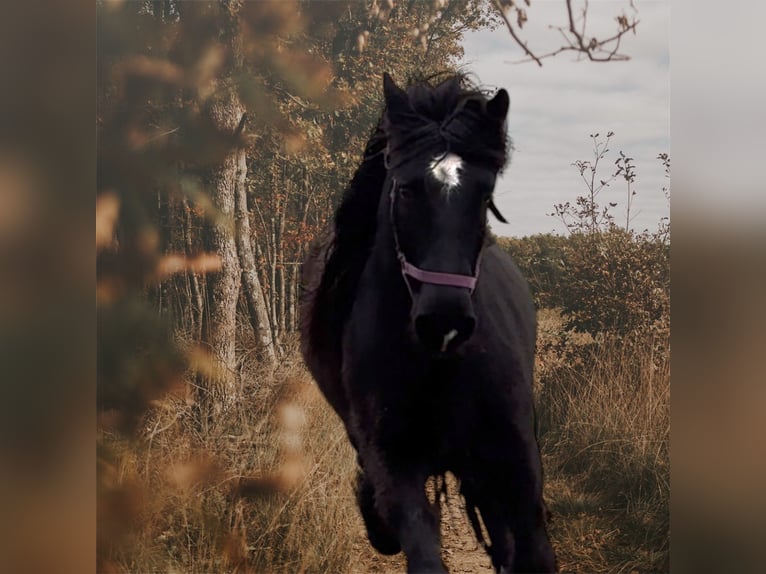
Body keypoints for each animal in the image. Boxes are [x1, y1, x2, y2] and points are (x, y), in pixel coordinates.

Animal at [300, 74, 560, 572]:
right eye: (405, 190)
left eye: (485, 196)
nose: (444, 321)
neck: (442, 367)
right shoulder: (397, 470)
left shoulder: (517, 467)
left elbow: (533, 552)